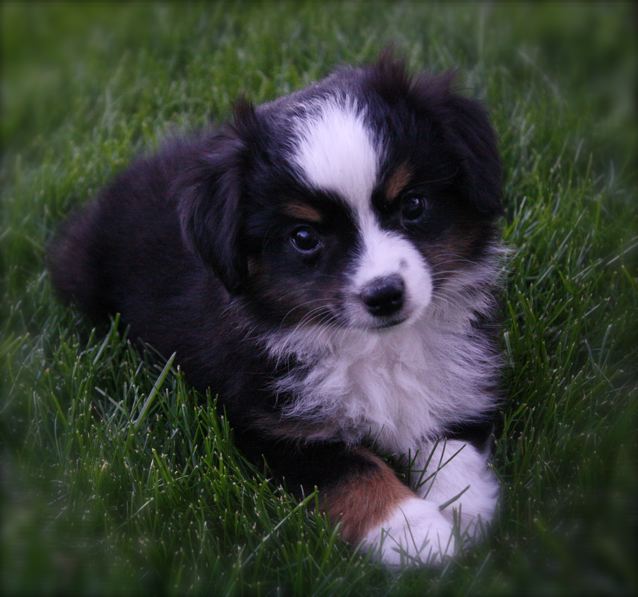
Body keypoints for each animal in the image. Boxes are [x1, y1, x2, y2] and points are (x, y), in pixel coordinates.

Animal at [48, 52, 504, 568]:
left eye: (414, 205)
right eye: (304, 237)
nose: (385, 294)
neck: (372, 345)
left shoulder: (458, 380)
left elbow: (452, 447)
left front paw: (465, 512)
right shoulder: (269, 425)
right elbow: (353, 468)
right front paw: (414, 533)